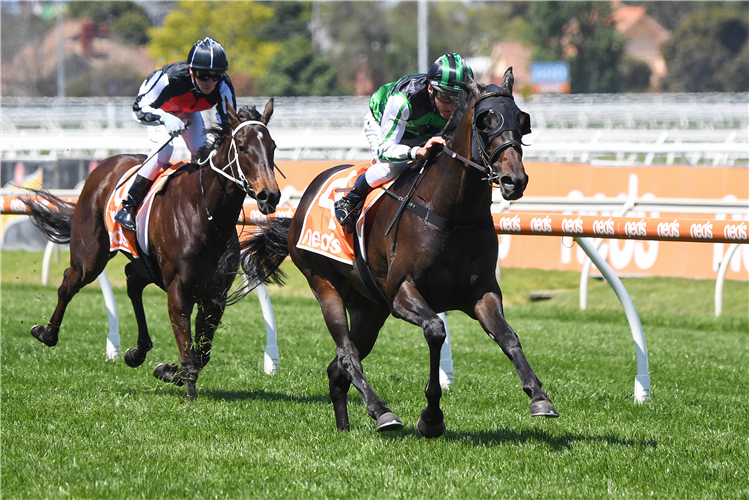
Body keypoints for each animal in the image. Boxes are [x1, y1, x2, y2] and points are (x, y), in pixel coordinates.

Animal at [24, 99, 280, 400]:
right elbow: (188, 346)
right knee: (69, 282)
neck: (207, 214)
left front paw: (169, 371)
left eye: (273, 146)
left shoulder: (215, 294)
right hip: (91, 255)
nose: (269, 195)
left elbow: (202, 352)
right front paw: (188, 390)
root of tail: (106, 164)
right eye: (242, 146)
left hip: (146, 263)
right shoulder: (179, 288)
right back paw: (46, 333)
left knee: (132, 281)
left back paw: (137, 351)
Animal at [243, 71, 560, 438]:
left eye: (521, 120)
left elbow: (509, 337)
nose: (514, 180)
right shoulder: (401, 292)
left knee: (337, 368)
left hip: (370, 309)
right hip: (324, 283)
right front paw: (431, 416)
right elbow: (436, 330)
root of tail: (302, 204)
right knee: (347, 355)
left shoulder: (482, 293)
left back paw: (344, 427)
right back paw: (381, 411)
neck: (452, 215)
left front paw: (539, 397)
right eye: (485, 121)